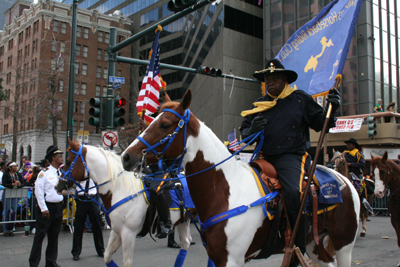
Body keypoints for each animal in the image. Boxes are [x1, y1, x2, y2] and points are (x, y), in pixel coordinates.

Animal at [121, 90, 360, 267]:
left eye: (165, 124)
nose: (126, 156)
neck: (224, 190)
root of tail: (342, 178)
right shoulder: (218, 257)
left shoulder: (232, 260)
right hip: (314, 244)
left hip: (344, 245)